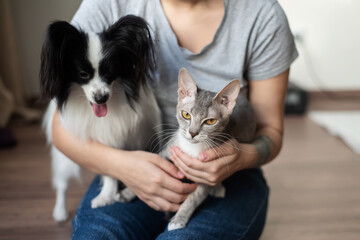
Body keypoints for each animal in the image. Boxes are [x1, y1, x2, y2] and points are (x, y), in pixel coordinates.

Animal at [39, 15, 162, 221]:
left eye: (110, 73)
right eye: (83, 75)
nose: (100, 98)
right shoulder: (105, 142)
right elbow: (110, 170)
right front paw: (106, 196)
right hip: (64, 159)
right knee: (62, 183)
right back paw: (60, 211)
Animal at [160, 67, 256, 231]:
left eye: (210, 121)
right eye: (186, 115)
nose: (192, 133)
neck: (192, 149)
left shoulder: (206, 173)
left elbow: (194, 197)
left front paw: (178, 219)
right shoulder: (169, 149)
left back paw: (217, 188)